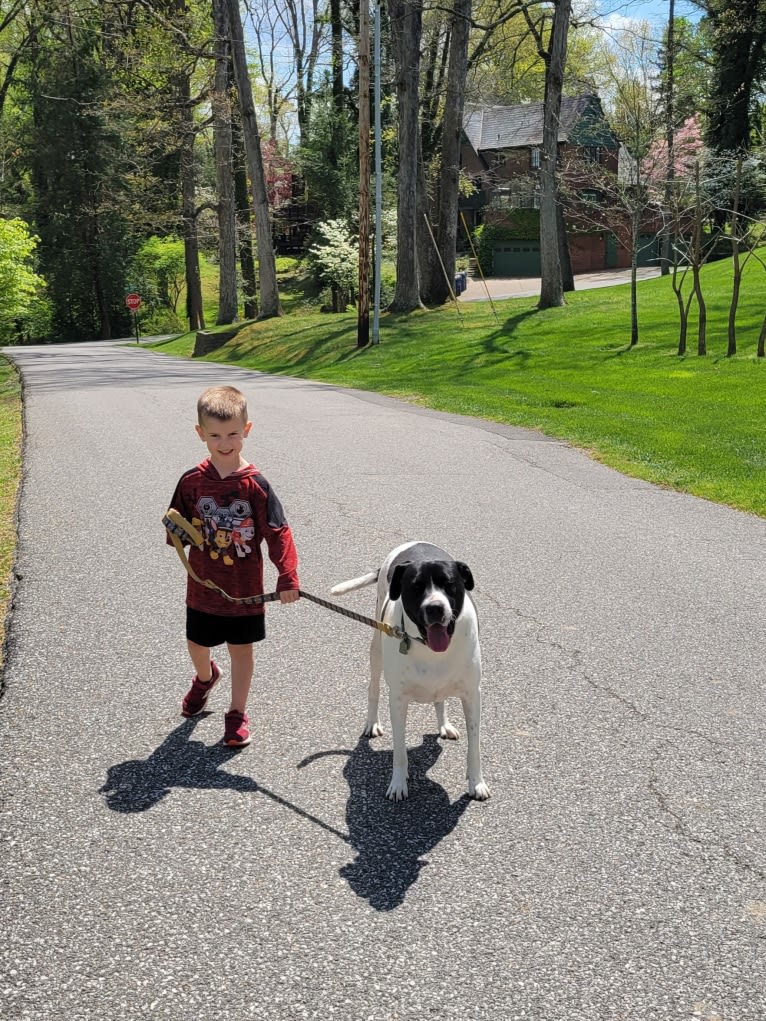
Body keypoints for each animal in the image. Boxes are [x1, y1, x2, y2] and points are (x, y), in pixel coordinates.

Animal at [330, 539, 492, 800]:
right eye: (416, 587)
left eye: (450, 584)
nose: (435, 608)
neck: (428, 647)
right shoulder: (397, 699)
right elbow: (399, 750)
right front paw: (398, 783)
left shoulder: (472, 695)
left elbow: (474, 746)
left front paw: (476, 782)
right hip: (376, 650)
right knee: (373, 688)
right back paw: (372, 723)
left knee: (440, 699)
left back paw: (444, 725)